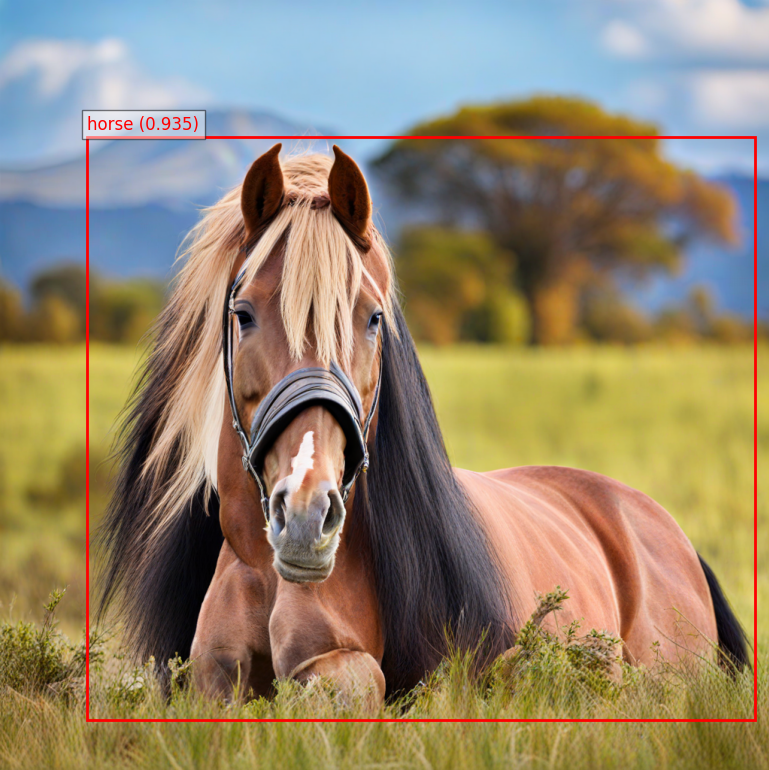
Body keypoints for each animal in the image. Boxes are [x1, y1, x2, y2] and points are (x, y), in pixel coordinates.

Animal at [96, 144, 750, 709]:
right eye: (244, 314)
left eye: (372, 318)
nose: (307, 517)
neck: (264, 569)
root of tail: (664, 528)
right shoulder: (209, 674)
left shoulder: (346, 669)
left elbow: (342, 683)